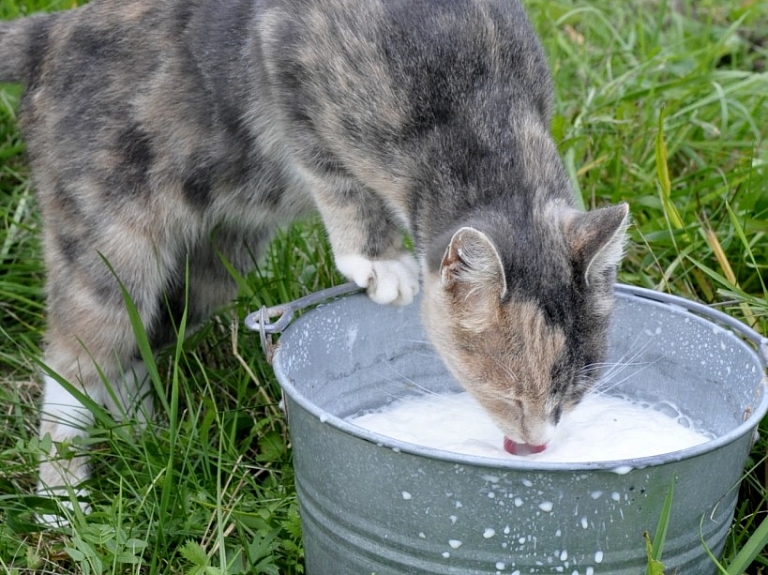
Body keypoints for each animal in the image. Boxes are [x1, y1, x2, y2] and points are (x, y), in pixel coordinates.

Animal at [0, 0, 628, 524]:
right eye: (508, 395)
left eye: (575, 394)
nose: (538, 444)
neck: (479, 104)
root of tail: (54, 31)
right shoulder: (284, 57)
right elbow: (329, 165)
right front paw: (377, 258)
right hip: (108, 232)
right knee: (77, 357)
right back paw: (62, 498)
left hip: (218, 261)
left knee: (145, 338)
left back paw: (140, 431)